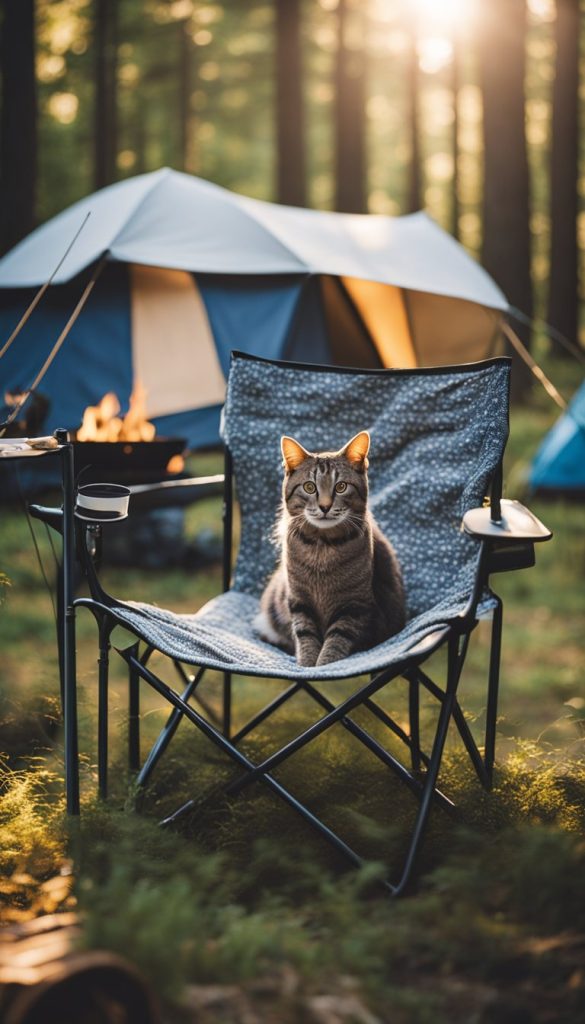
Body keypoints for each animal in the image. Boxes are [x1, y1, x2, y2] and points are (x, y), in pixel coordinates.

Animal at [257, 430, 407, 663]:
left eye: (341, 487)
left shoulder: (354, 606)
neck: (322, 547)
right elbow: (306, 637)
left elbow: (336, 642)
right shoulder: (300, 603)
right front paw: (307, 665)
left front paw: (324, 664)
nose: (325, 506)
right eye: (309, 487)